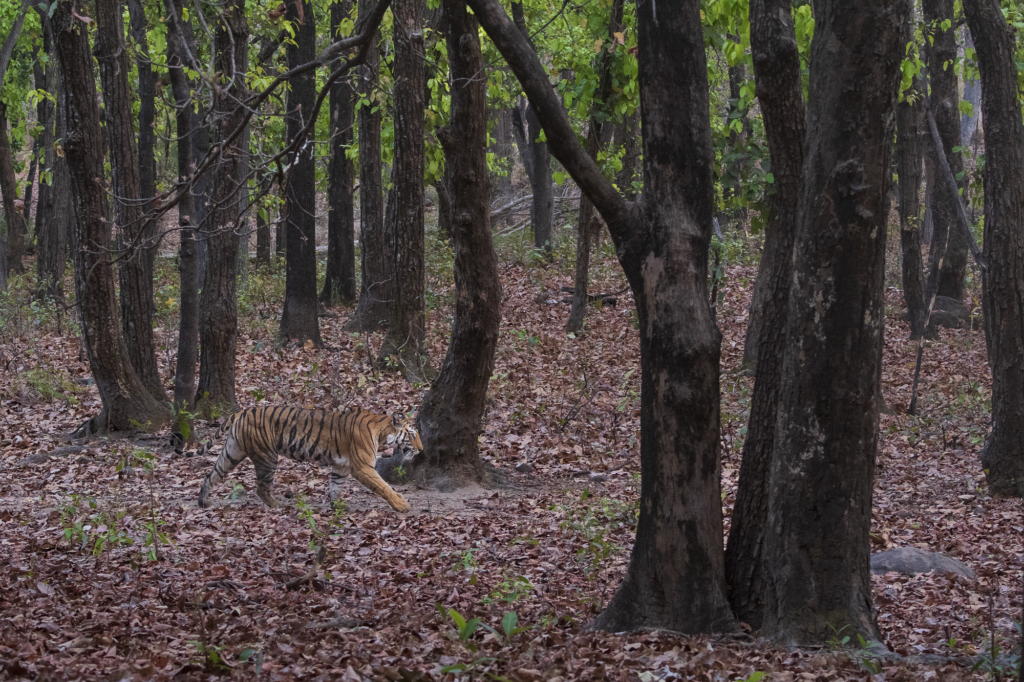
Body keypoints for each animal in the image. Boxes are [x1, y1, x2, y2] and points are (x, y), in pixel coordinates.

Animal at [187, 403, 419, 509]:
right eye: (412, 435)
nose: (421, 449)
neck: (381, 431)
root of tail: (241, 412)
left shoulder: (341, 466)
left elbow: (335, 486)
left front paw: (337, 506)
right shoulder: (362, 466)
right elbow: (383, 486)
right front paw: (401, 505)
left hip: (232, 452)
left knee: (211, 474)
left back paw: (203, 501)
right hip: (267, 456)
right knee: (261, 487)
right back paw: (277, 505)